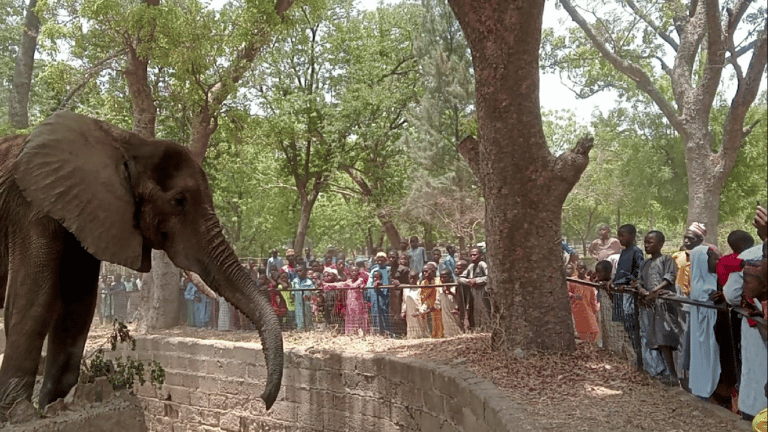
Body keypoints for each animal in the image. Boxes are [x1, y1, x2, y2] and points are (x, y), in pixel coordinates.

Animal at [0, 110, 284, 418]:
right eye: (179, 201)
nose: (262, 400)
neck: (125, 144)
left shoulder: (88, 214)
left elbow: (77, 307)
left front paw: (57, 407)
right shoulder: (30, 209)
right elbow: (34, 299)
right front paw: (19, 413)